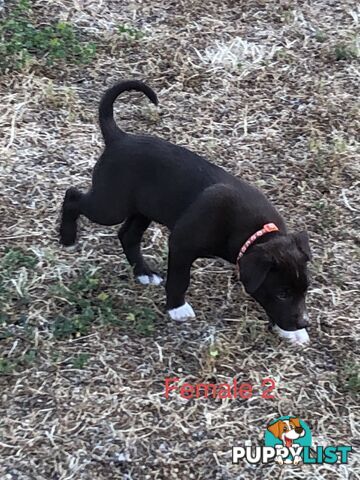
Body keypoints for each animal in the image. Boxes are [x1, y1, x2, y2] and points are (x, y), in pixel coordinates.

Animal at [59, 79, 312, 342]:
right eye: (282, 293)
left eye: (305, 289)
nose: (304, 322)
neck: (255, 232)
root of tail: (119, 138)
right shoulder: (181, 244)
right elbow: (180, 279)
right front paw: (177, 308)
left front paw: (293, 333)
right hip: (111, 206)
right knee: (73, 196)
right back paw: (67, 238)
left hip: (144, 209)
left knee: (127, 235)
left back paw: (143, 272)